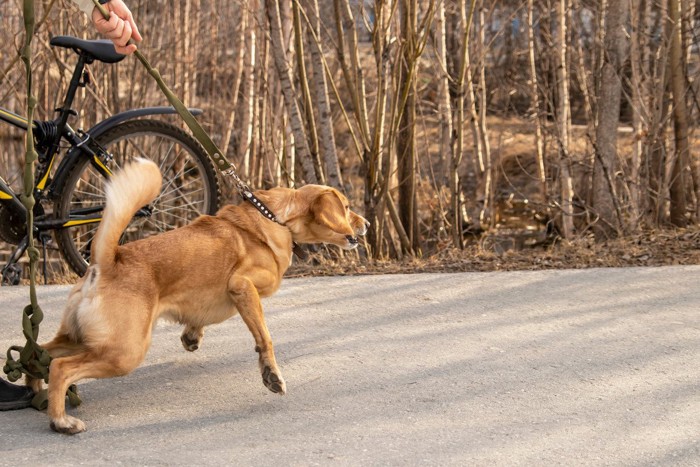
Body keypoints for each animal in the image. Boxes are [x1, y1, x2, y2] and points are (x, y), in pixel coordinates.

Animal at [30, 160, 370, 436]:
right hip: (123, 352)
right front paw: (271, 375)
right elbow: (265, 338)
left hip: (79, 339)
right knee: (60, 368)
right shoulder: (243, 286)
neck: (276, 218)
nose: (366, 224)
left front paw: (193, 334)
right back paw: (61, 420)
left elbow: (199, 318)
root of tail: (108, 262)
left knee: (37, 354)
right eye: (346, 206)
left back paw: (35, 392)